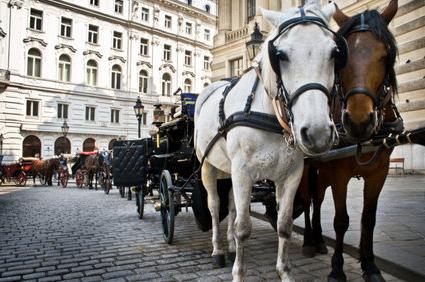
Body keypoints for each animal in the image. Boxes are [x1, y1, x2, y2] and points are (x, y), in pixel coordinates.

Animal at [195, 1, 338, 280]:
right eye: (280, 55)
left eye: (335, 52)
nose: (317, 132)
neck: (268, 114)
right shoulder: (243, 172)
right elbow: (243, 227)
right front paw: (239, 273)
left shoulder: (291, 175)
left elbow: (283, 225)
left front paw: (284, 272)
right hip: (208, 166)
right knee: (215, 205)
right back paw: (218, 250)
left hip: (230, 171)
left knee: (230, 204)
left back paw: (230, 246)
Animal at [296, 1, 400, 280]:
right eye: (341, 58)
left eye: (386, 55)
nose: (359, 120)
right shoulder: (339, 172)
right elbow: (341, 220)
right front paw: (337, 269)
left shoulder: (380, 172)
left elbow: (368, 219)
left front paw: (370, 265)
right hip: (309, 168)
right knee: (308, 200)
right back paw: (309, 241)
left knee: (318, 199)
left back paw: (319, 241)